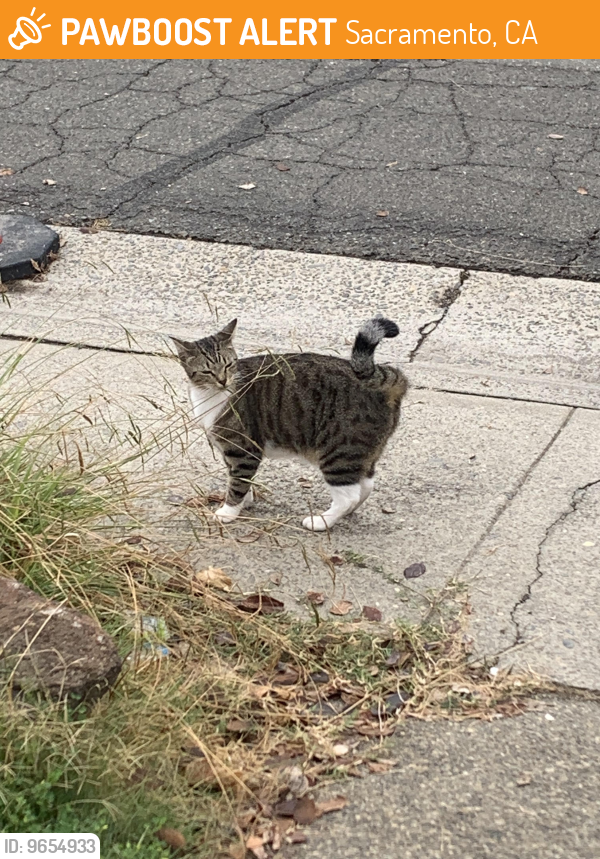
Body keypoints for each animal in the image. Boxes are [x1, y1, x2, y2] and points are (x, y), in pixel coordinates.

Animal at [173, 318, 408, 532]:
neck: (210, 394)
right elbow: (239, 478)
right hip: (359, 452)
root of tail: (387, 384)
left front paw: (228, 511)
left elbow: (238, 481)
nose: (222, 380)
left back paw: (321, 521)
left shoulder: (242, 449)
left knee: (348, 496)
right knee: (365, 485)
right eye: (207, 371)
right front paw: (244, 502)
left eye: (229, 365)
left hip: (339, 452)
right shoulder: (229, 450)